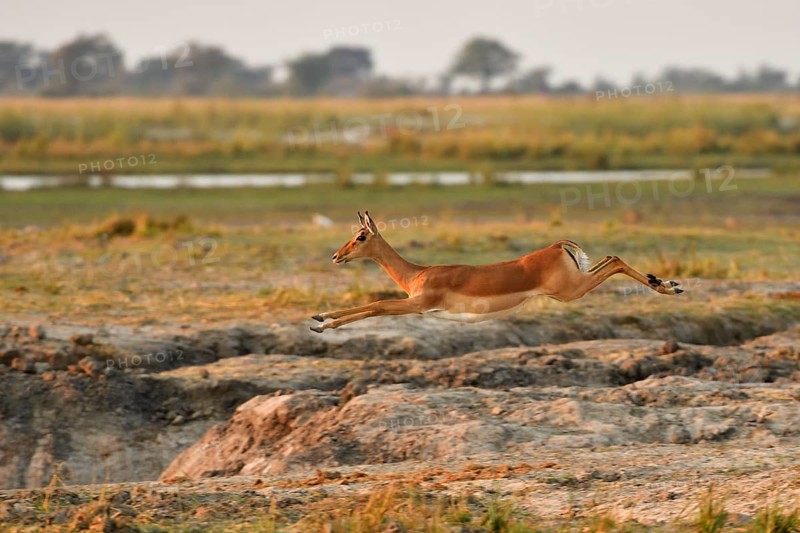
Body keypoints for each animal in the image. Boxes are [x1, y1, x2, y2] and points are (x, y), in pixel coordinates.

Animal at [310, 211, 683, 333]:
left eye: (360, 236)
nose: (336, 256)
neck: (418, 273)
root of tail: (557, 246)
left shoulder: (418, 304)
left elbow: (377, 305)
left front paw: (323, 322)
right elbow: (376, 306)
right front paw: (319, 317)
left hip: (570, 291)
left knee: (616, 259)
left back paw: (669, 286)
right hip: (576, 283)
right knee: (609, 257)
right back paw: (667, 283)